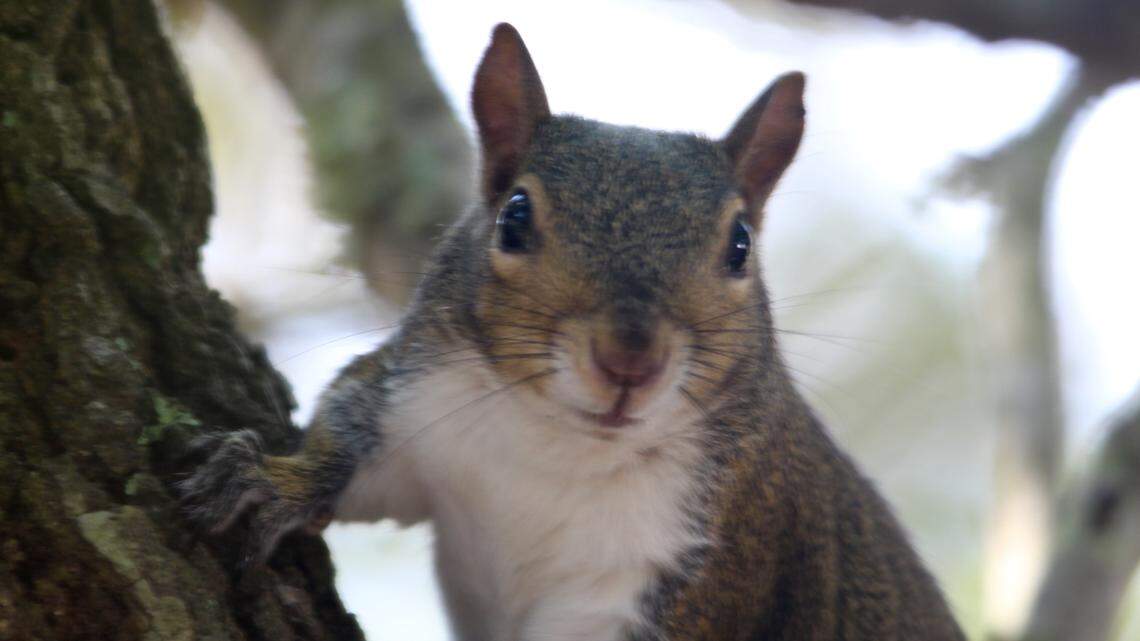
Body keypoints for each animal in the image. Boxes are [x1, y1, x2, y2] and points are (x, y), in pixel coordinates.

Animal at [181, 22, 966, 641]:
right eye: (514, 216)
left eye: (741, 245)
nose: (630, 361)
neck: (557, 446)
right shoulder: (411, 399)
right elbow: (345, 432)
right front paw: (270, 481)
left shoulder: (705, 564)